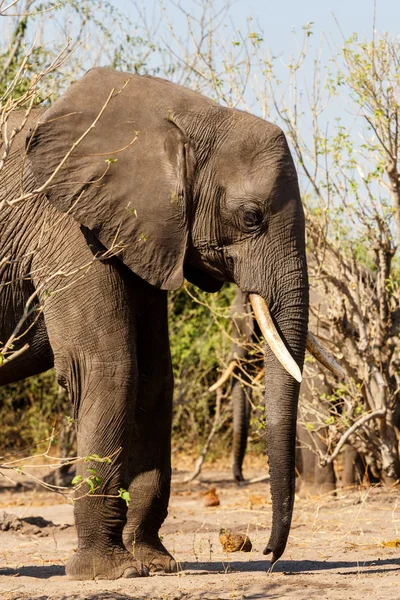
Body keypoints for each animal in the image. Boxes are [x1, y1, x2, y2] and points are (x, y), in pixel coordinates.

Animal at [0, 68, 340, 580]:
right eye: (251, 217)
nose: (268, 554)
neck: (179, 117)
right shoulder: (68, 225)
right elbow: (109, 367)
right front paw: (109, 573)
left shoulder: (142, 230)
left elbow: (155, 379)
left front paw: (157, 564)